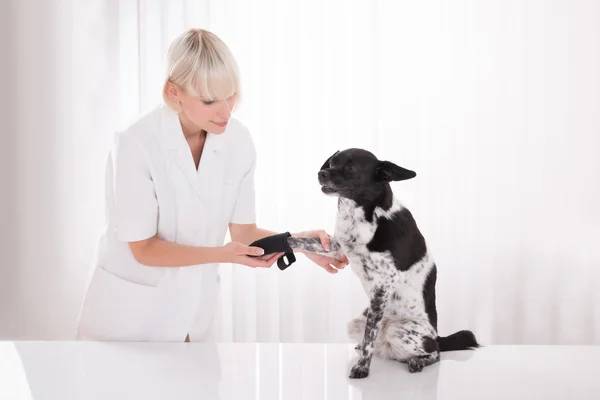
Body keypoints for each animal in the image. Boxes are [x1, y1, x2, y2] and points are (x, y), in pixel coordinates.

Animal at [286, 148, 478, 380]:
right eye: (332, 163)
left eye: (352, 167)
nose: (321, 173)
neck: (362, 216)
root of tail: (437, 335)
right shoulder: (336, 247)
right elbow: (302, 241)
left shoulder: (383, 284)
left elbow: (370, 335)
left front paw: (362, 368)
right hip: (355, 324)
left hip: (401, 331)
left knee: (435, 353)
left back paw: (418, 361)